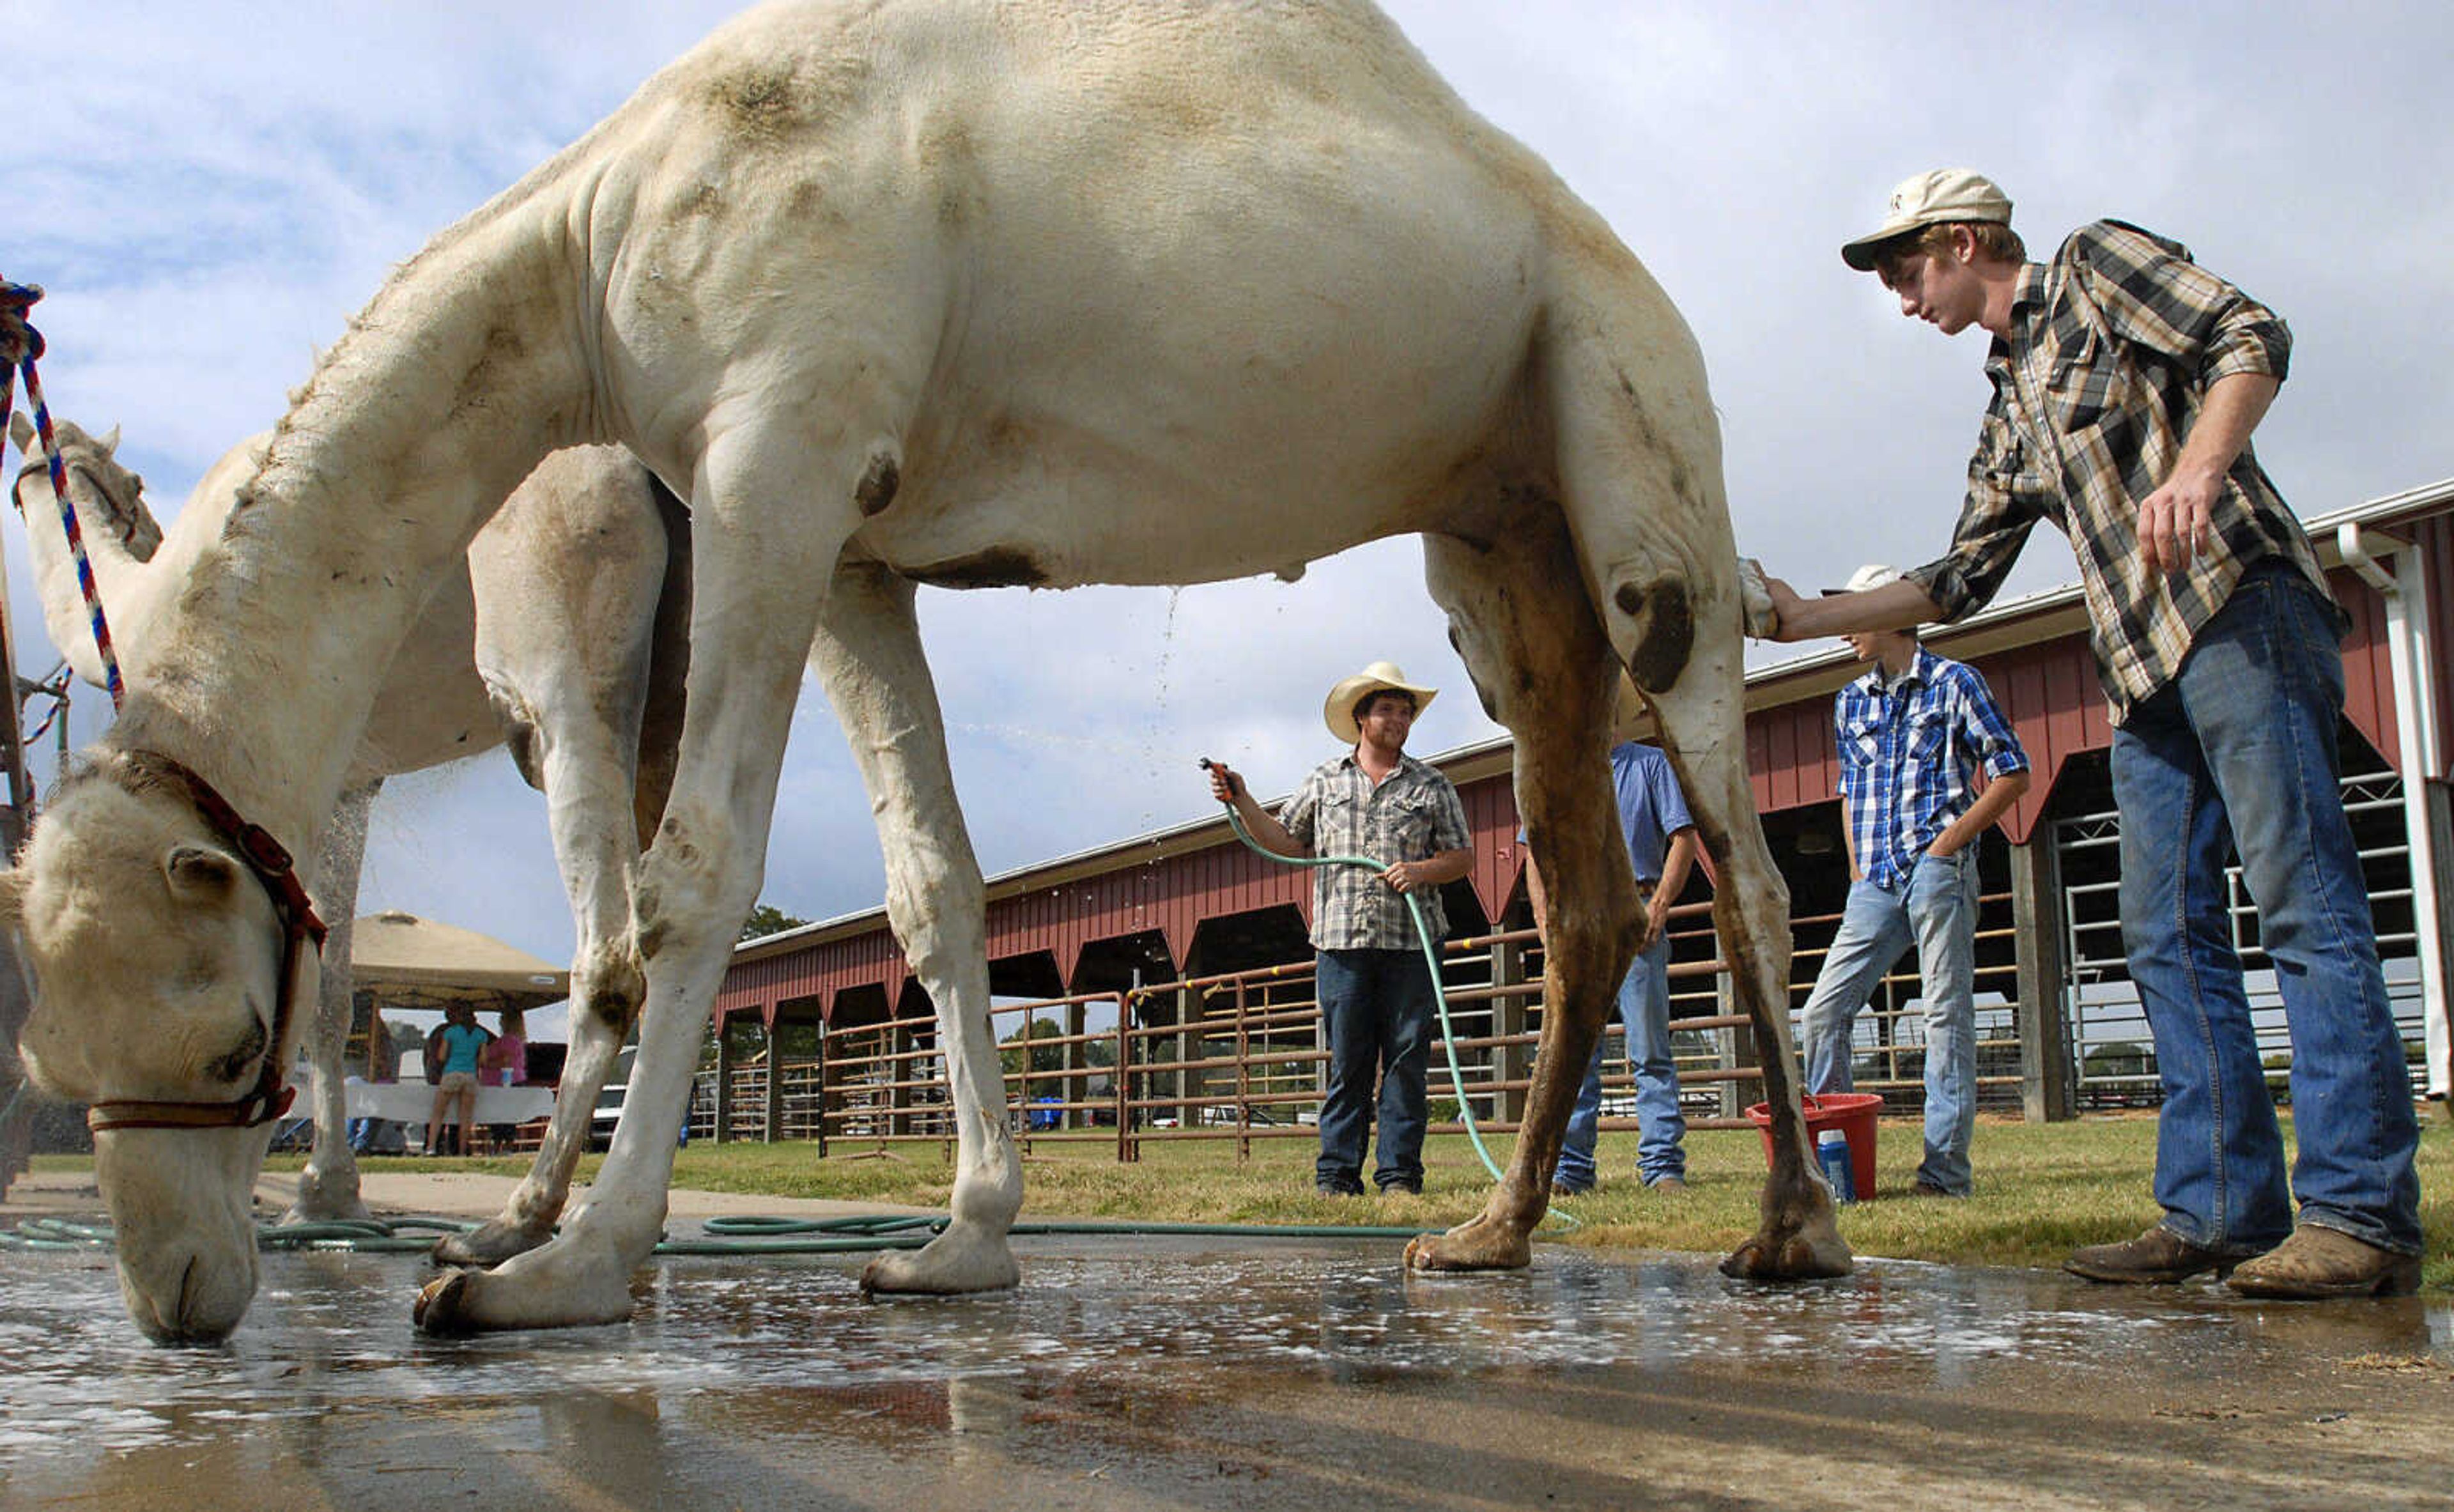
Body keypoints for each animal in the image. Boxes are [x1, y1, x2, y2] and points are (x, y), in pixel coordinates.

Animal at [12, 417, 691, 1266]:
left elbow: (310, 985)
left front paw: (316, 1191)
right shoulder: (355, 779)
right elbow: (329, 983)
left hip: (561, 653)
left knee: (610, 947)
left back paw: (514, 1223)